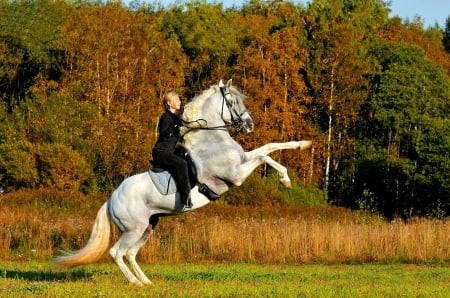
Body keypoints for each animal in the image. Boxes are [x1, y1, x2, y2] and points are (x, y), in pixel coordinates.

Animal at [53, 79, 312, 286]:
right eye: (232, 102)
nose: (250, 125)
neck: (211, 137)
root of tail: (111, 198)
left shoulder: (243, 161)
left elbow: (270, 147)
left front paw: (302, 146)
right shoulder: (236, 174)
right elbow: (265, 155)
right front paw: (286, 180)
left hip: (148, 226)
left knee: (131, 254)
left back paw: (146, 282)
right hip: (133, 228)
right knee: (118, 252)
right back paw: (135, 283)